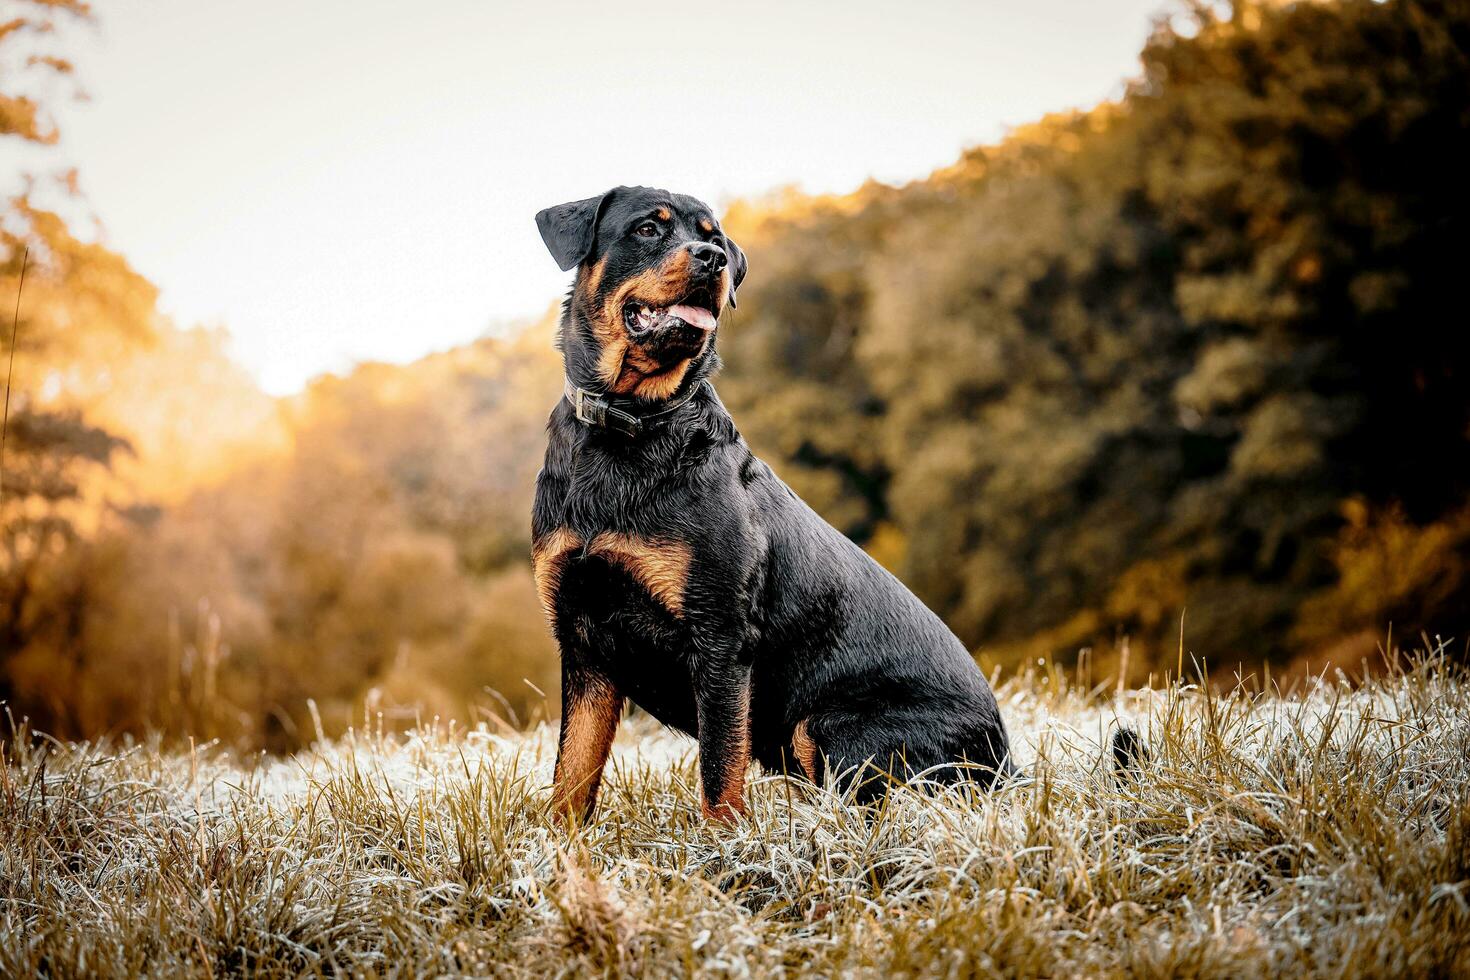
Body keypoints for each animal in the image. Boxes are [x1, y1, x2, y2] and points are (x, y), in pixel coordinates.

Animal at [535, 185, 1017, 828]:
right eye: (647, 229)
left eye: (713, 235)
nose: (713, 258)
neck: (630, 425)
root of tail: (1008, 762)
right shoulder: (583, 640)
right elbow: (572, 774)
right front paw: (559, 848)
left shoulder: (720, 638)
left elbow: (720, 773)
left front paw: (723, 850)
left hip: (829, 726)